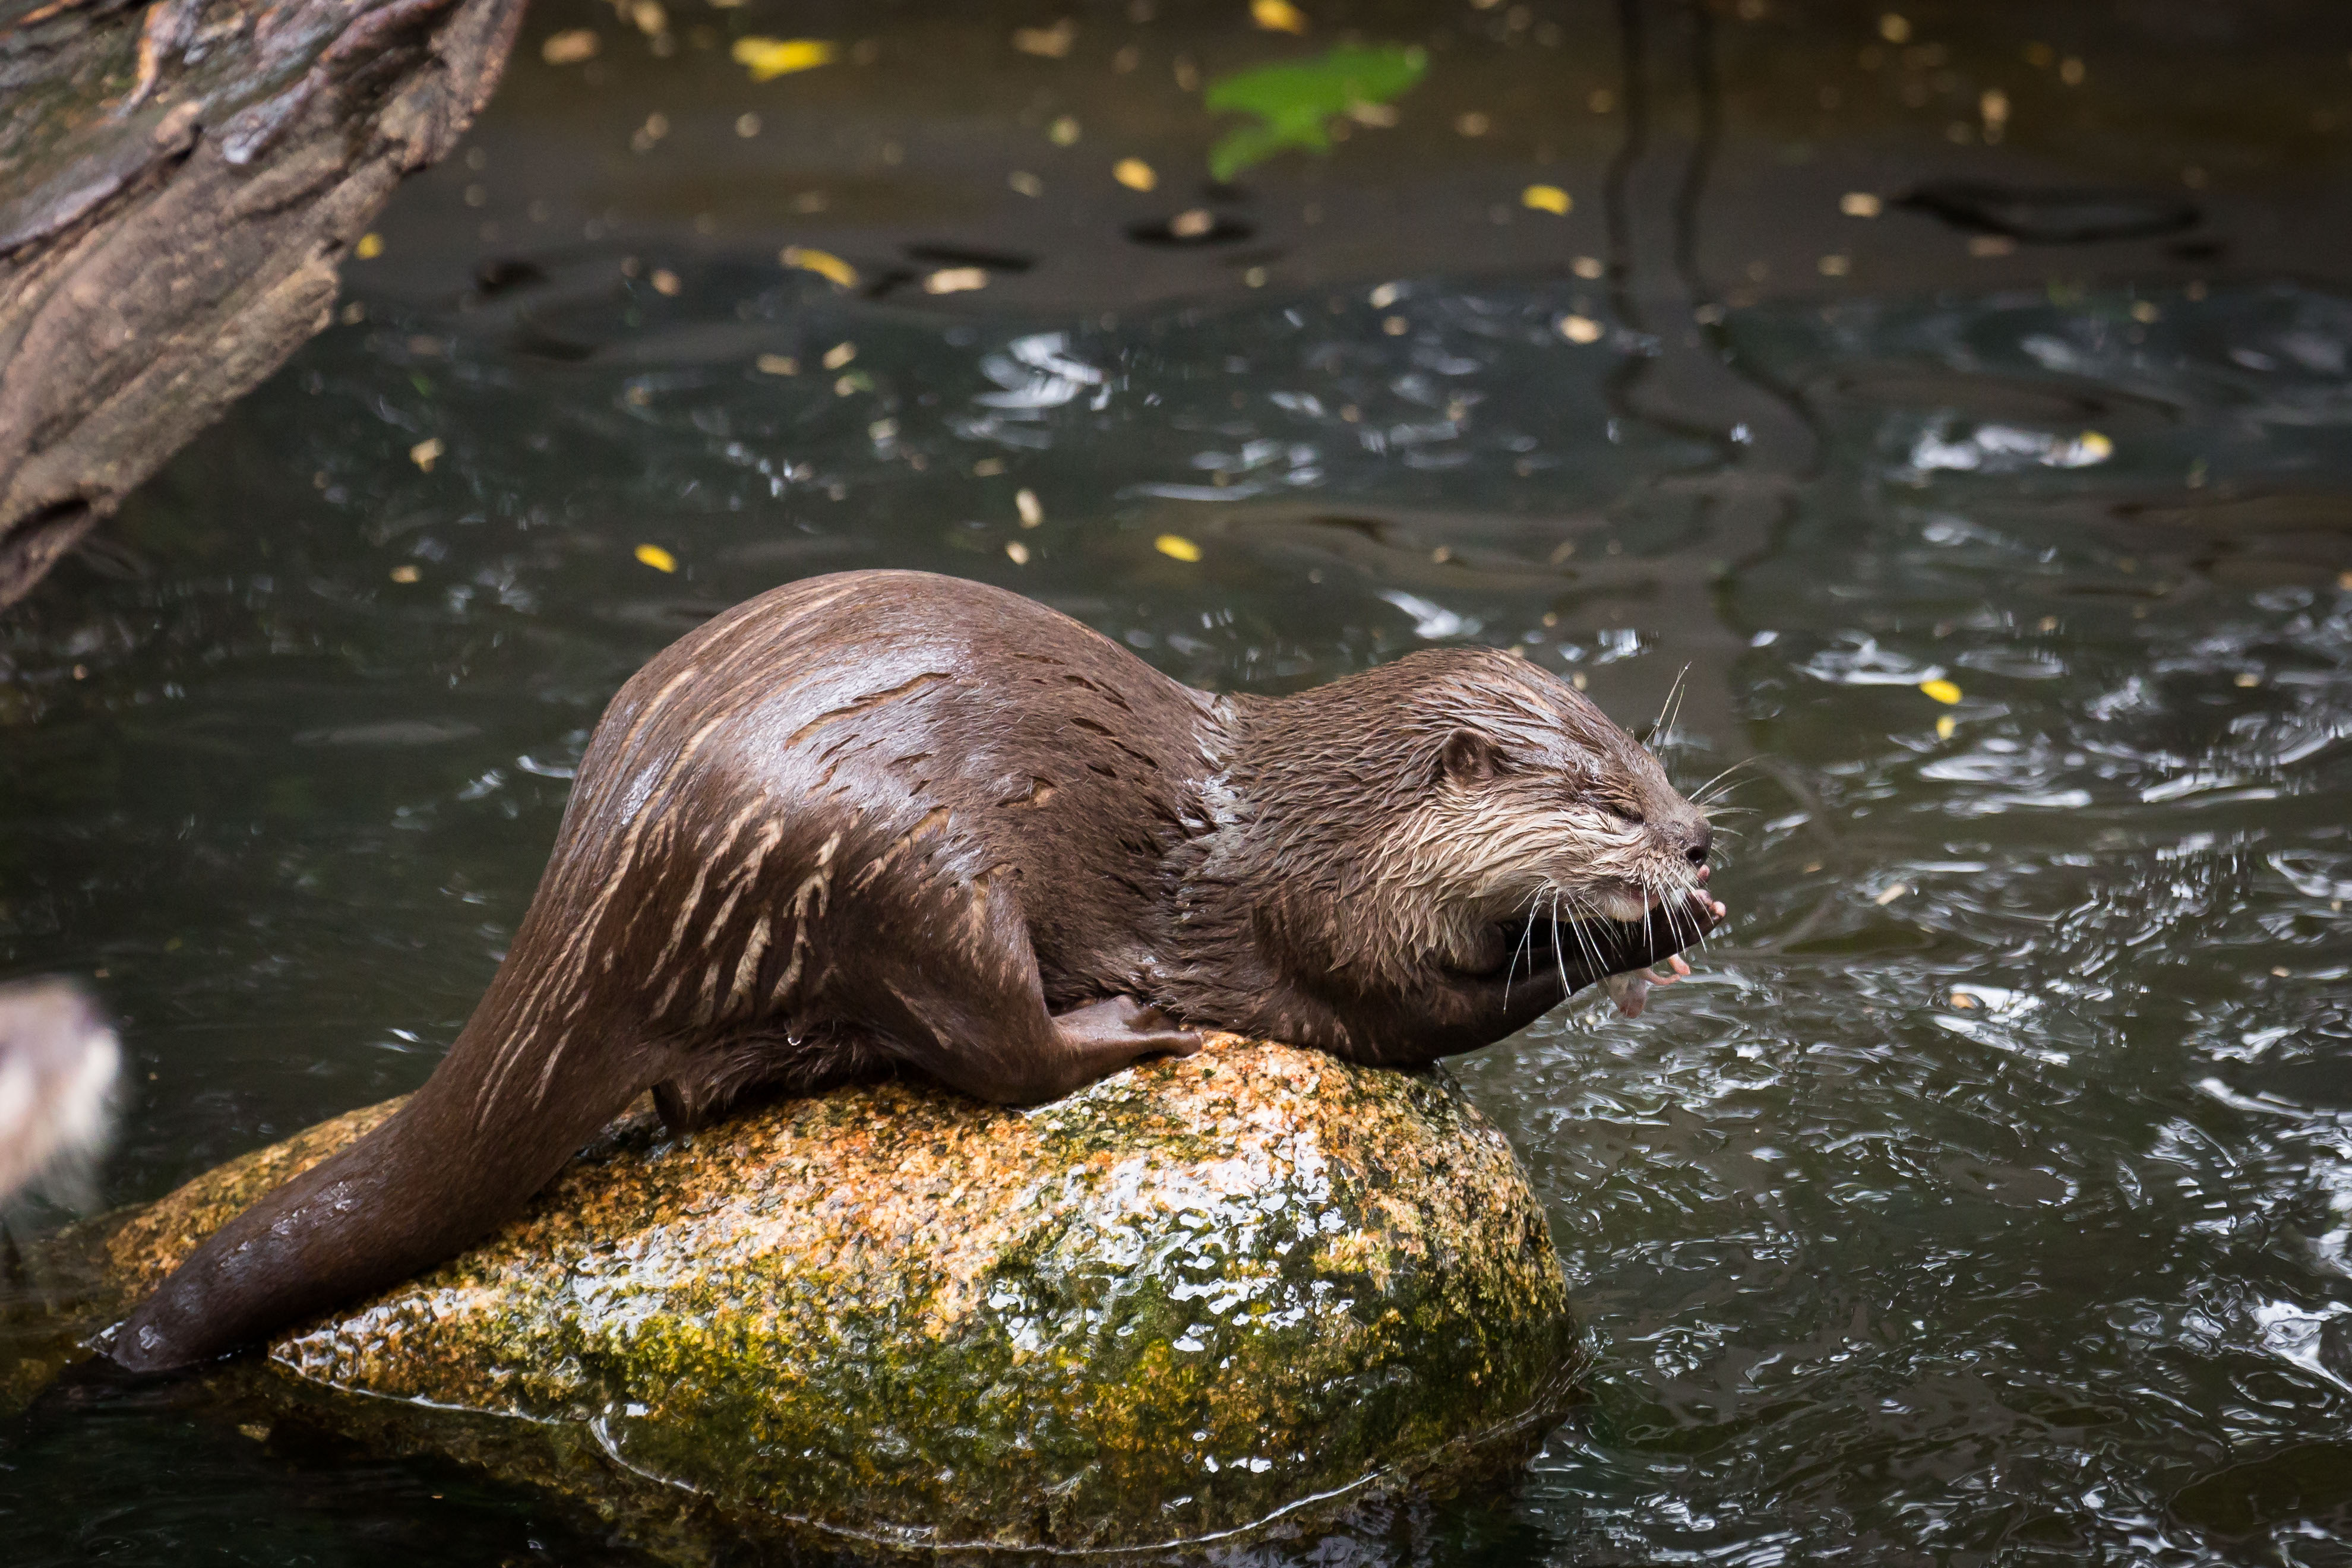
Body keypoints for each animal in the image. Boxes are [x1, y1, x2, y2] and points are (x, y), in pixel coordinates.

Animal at [110, 573, 1721, 1373]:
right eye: (1605, 800)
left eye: (1650, 759)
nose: (1697, 834)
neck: (1323, 824)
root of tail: (612, 851)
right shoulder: (1318, 926)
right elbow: (1417, 1014)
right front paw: (1642, 928)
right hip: (907, 867)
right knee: (997, 1051)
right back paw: (1127, 1028)